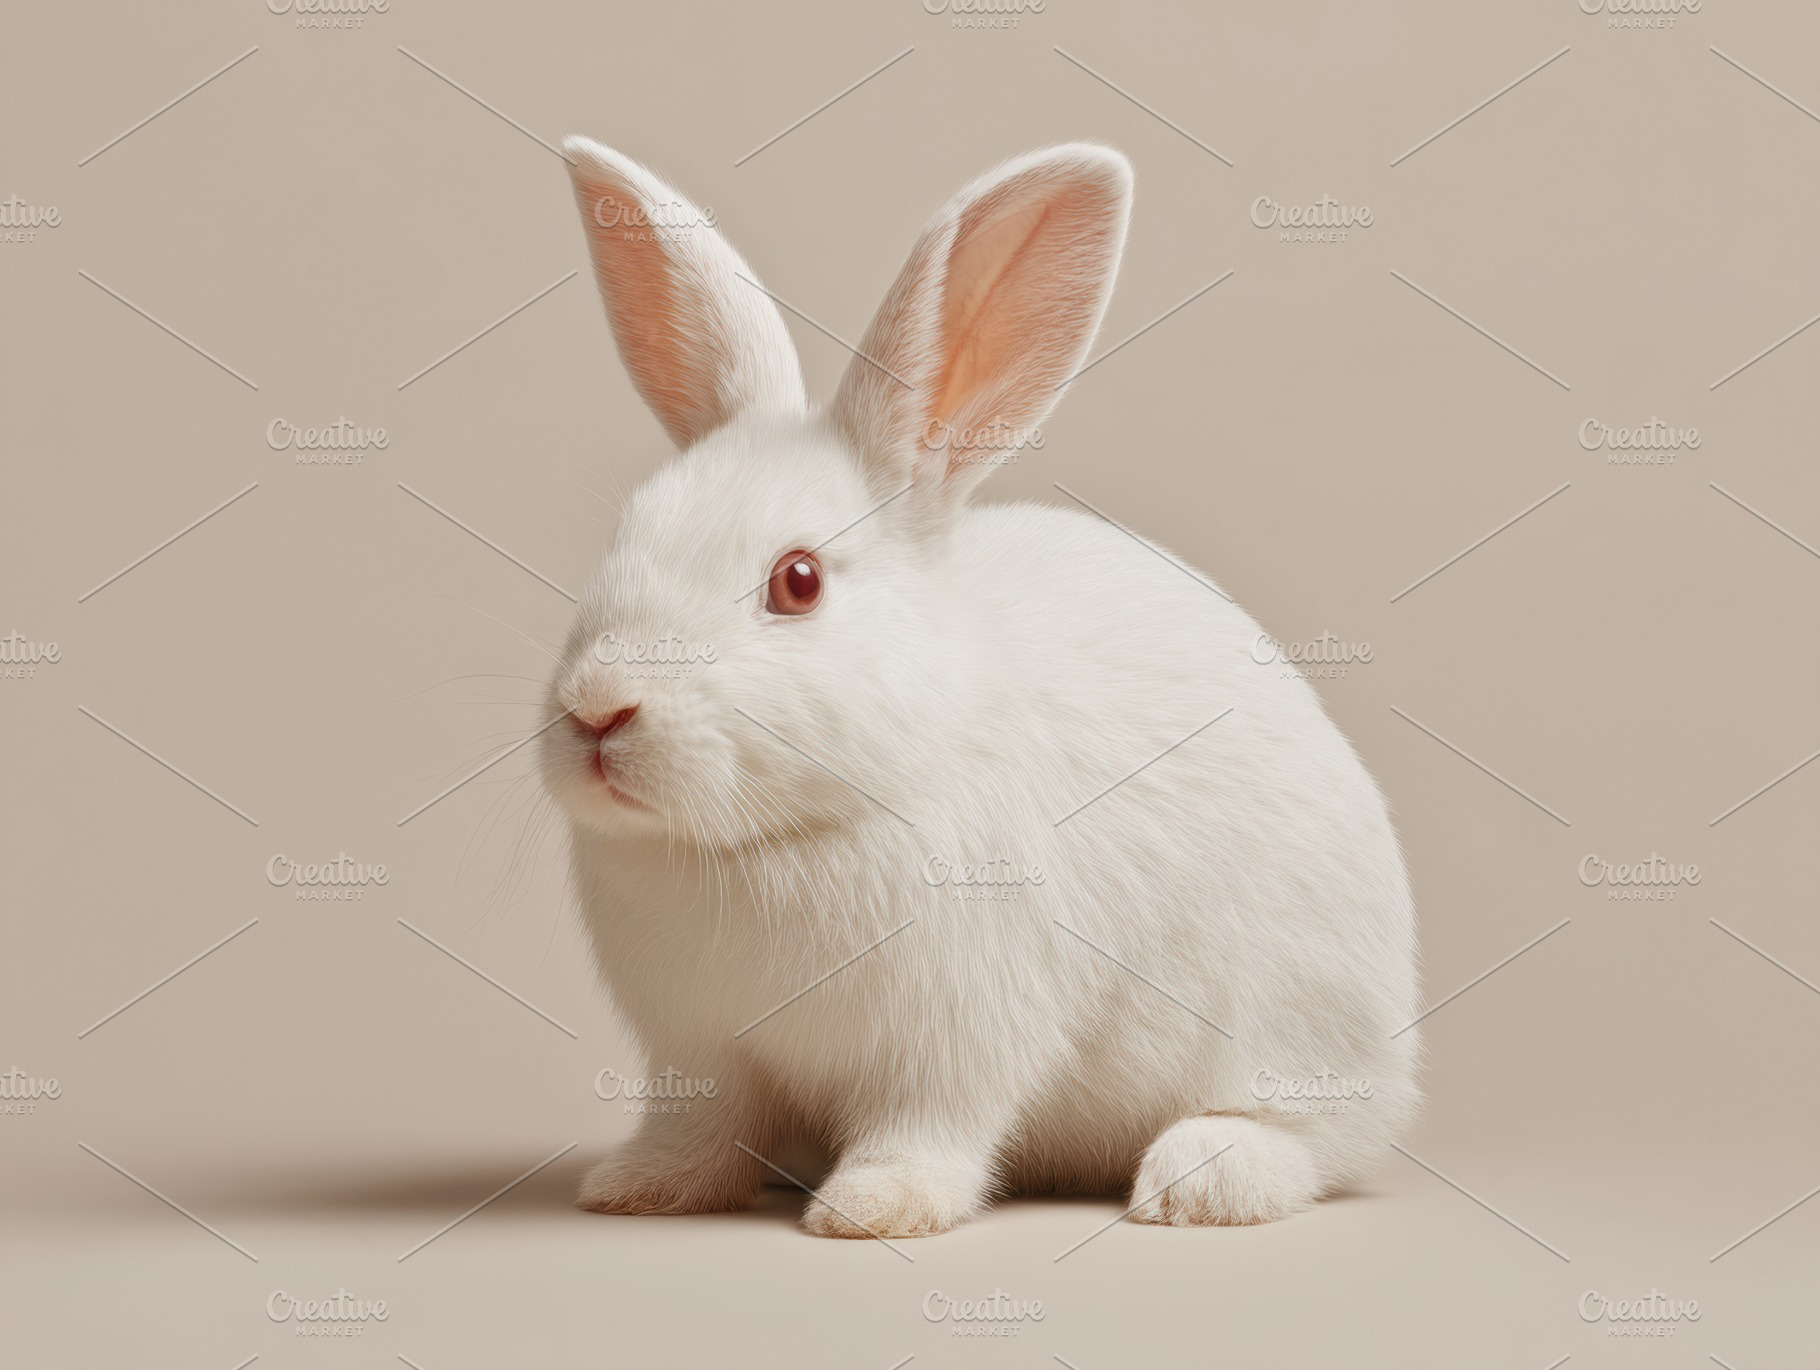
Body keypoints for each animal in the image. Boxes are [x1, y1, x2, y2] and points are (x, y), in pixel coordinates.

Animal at [541, 134, 1422, 1237]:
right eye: (620, 539)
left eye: (798, 581)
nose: (596, 709)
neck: (770, 839)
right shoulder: (700, 1055)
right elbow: (697, 1130)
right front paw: (637, 1189)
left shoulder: (954, 1042)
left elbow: (927, 1126)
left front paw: (873, 1209)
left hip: (1298, 1024)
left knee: (1313, 1140)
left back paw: (1200, 1178)